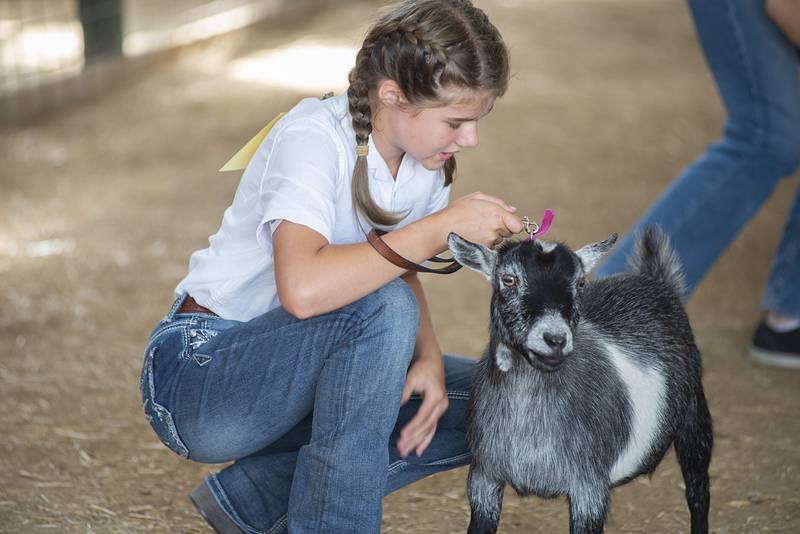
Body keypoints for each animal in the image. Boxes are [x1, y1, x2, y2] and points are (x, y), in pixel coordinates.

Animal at [446, 229, 716, 534]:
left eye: (580, 282)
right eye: (508, 279)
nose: (555, 339)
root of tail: (655, 280)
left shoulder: (590, 489)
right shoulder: (484, 478)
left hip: (695, 416)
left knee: (698, 492)